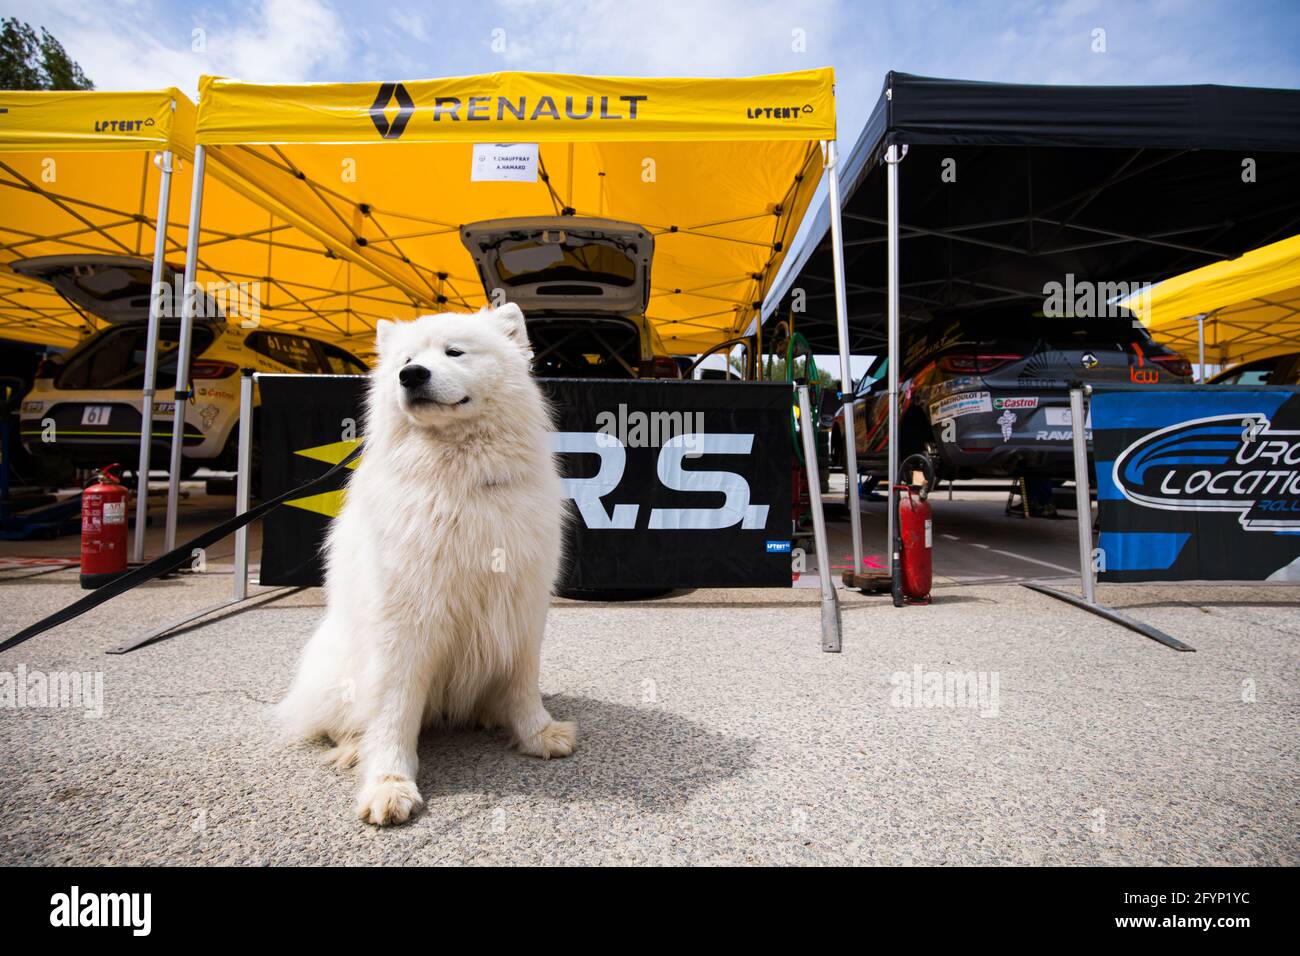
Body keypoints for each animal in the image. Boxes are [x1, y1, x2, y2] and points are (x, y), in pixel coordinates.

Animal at [274, 304, 574, 822]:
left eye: (455, 352)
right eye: (406, 359)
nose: (411, 375)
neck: (461, 480)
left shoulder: (521, 606)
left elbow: (523, 683)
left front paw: (538, 734)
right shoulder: (406, 622)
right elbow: (394, 711)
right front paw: (388, 784)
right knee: (339, 721)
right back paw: (352, 747)